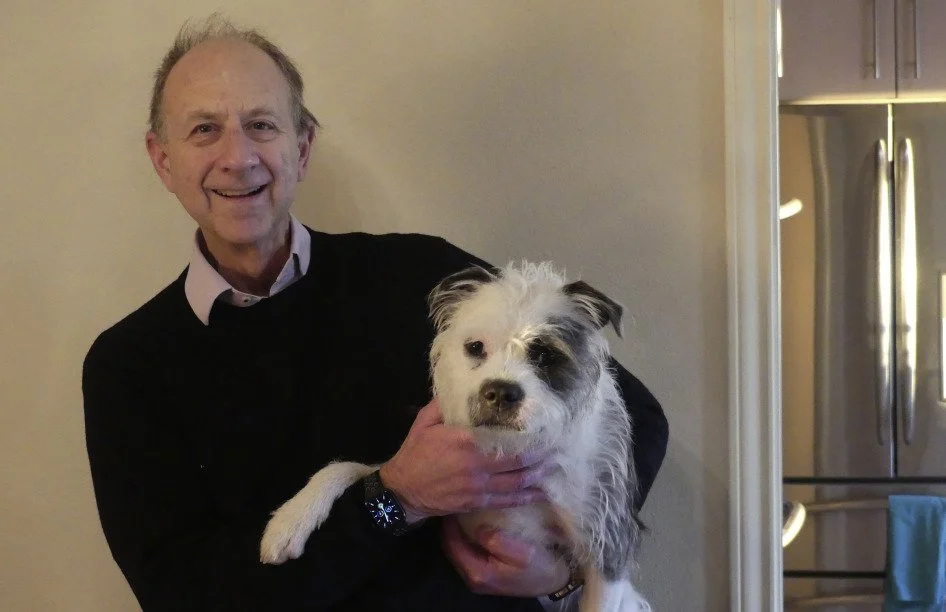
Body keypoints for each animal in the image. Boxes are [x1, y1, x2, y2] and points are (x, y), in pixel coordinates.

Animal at [260, 261, 651, 611]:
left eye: (544, 354)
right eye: (475, 347)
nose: (500, 392)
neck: (504, 446)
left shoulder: (609, 552)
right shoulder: (422, 494)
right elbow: (344, 467)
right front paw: (288, 521)